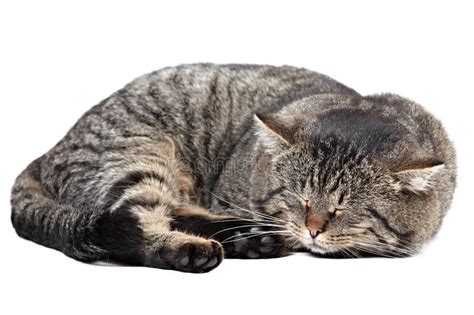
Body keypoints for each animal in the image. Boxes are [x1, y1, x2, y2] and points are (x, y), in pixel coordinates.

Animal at [10, 64, 456, 274]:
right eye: (299, 199)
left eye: (341, 208)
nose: (312, 229)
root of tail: (49, 150)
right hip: (138, 154)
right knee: (127, 221)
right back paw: (200, 246)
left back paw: (250, 239)